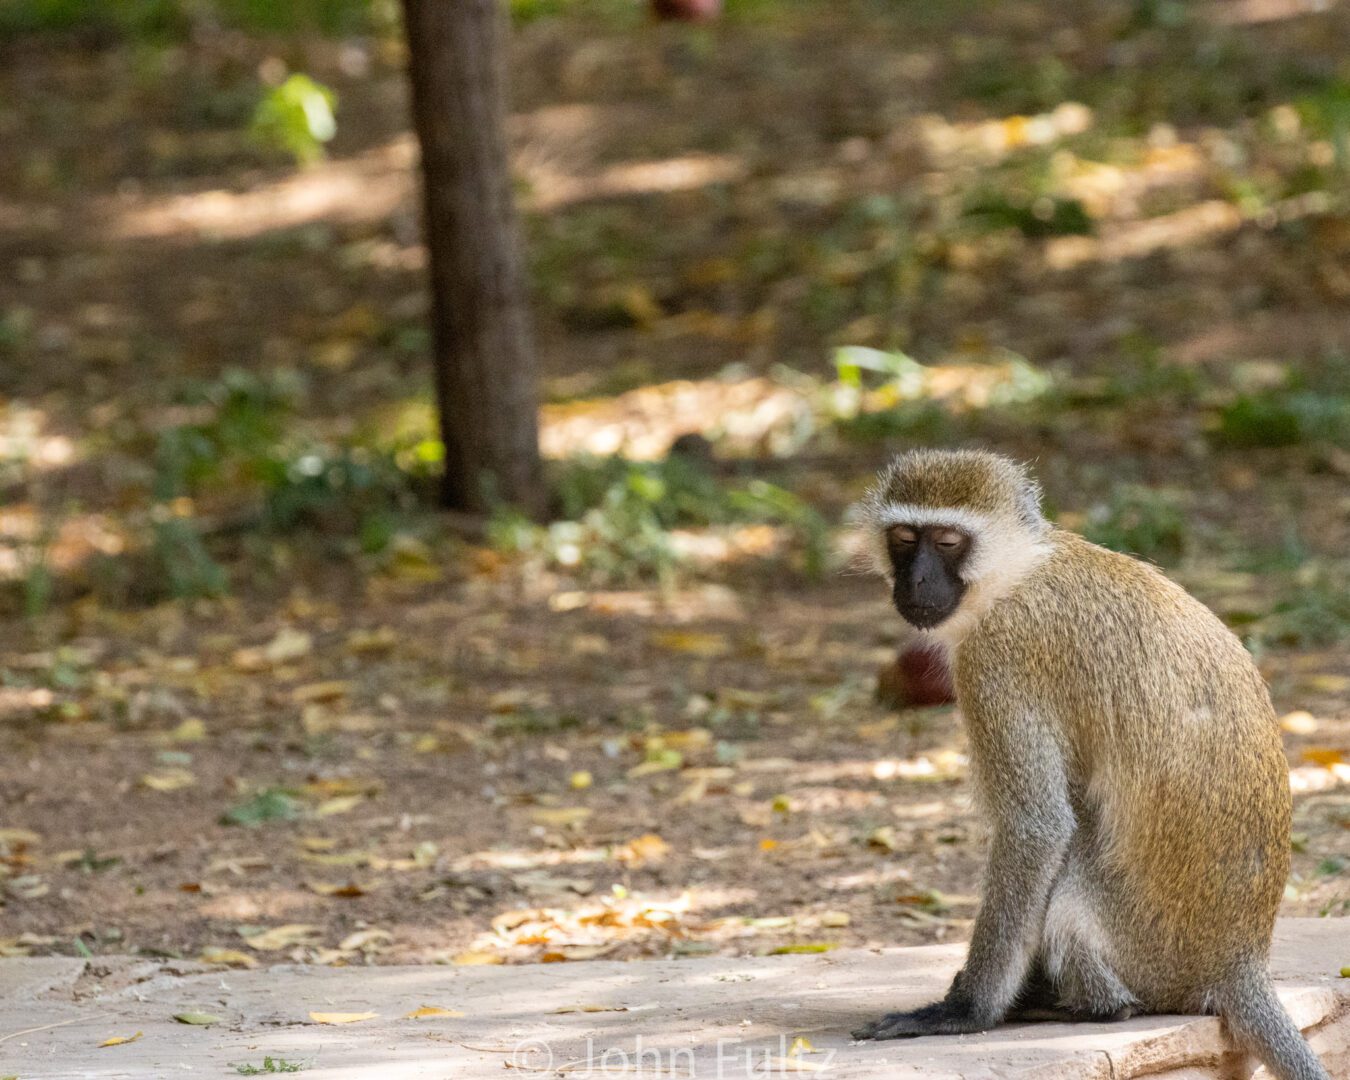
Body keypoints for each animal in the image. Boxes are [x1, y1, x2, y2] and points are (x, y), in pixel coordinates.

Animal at [853, 448, 1328, 1080]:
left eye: (949, 542)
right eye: (904, 539)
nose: (918, 580)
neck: (1020, 571)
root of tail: (1240, 960)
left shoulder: (997, 659)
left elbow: (1037, 828)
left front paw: (966, 1010)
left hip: (1148, 950)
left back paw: (1092, 1006)